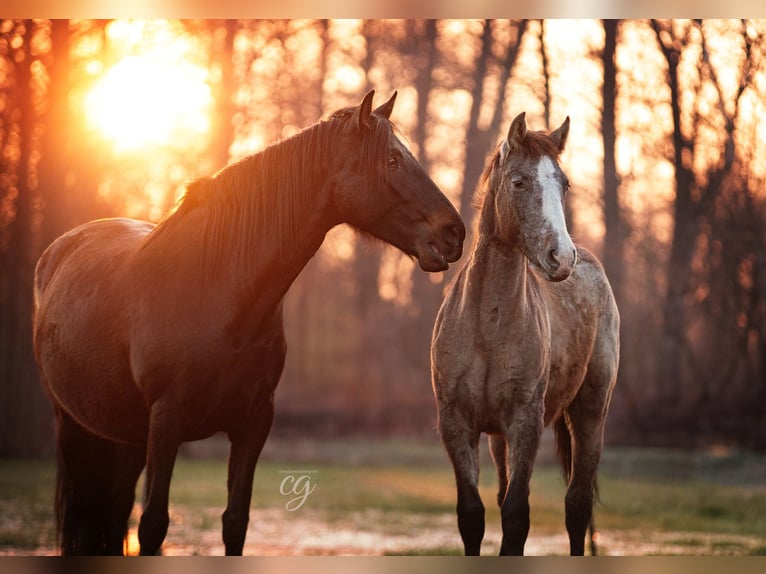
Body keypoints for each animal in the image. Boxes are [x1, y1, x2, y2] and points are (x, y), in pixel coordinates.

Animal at [34, 91, 468, 560]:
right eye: (391, 159)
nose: (455, 233)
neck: (217, 288)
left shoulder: (254, 422)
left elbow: (235, 521)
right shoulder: (166, 421)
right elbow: (152, 525)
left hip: (125, 435)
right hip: (75, 427)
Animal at [432, 113, 616, 560]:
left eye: (564, 183)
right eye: (518, 182)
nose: (560, 258)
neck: (487, 326)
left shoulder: (525, 422)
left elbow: (516, 516)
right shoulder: (456, 422)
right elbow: (473, 515)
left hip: (590, 412)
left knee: (577, 507)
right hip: (498, 438)